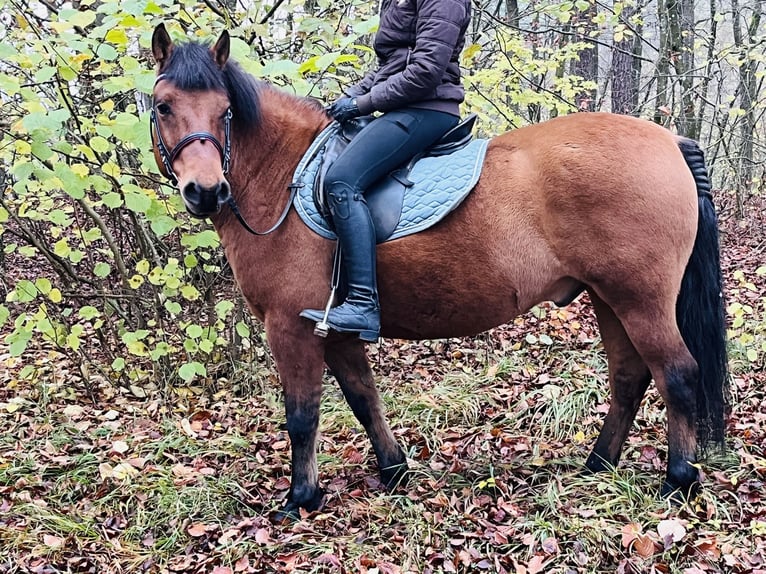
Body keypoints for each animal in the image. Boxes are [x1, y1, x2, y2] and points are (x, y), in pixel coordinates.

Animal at [148, 24, 728, 524]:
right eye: (163, 105)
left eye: (226, 111)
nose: (206, 191)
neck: (283, 176)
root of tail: (671, 141)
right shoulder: (335, 327)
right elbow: (363, 397)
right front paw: (394, 471)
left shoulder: (290, 325)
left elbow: (302, 414)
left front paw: (300, 498)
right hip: (608, 298)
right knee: (630, 376)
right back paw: (598, 464)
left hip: (640, 299)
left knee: (677, 373)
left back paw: (678, 481)